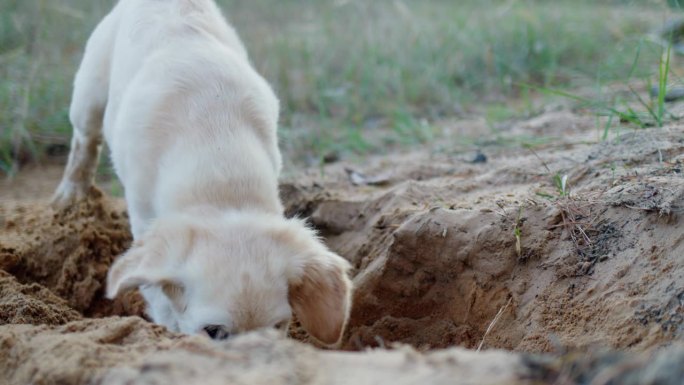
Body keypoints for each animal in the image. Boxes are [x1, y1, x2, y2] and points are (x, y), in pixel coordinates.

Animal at [52, 0, 352, 344]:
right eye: (213, 331)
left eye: (278, 327)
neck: (221, 171)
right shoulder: (144, 215)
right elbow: (156, 286)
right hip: (89, 91)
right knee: (84, 140)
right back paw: (71, 195)